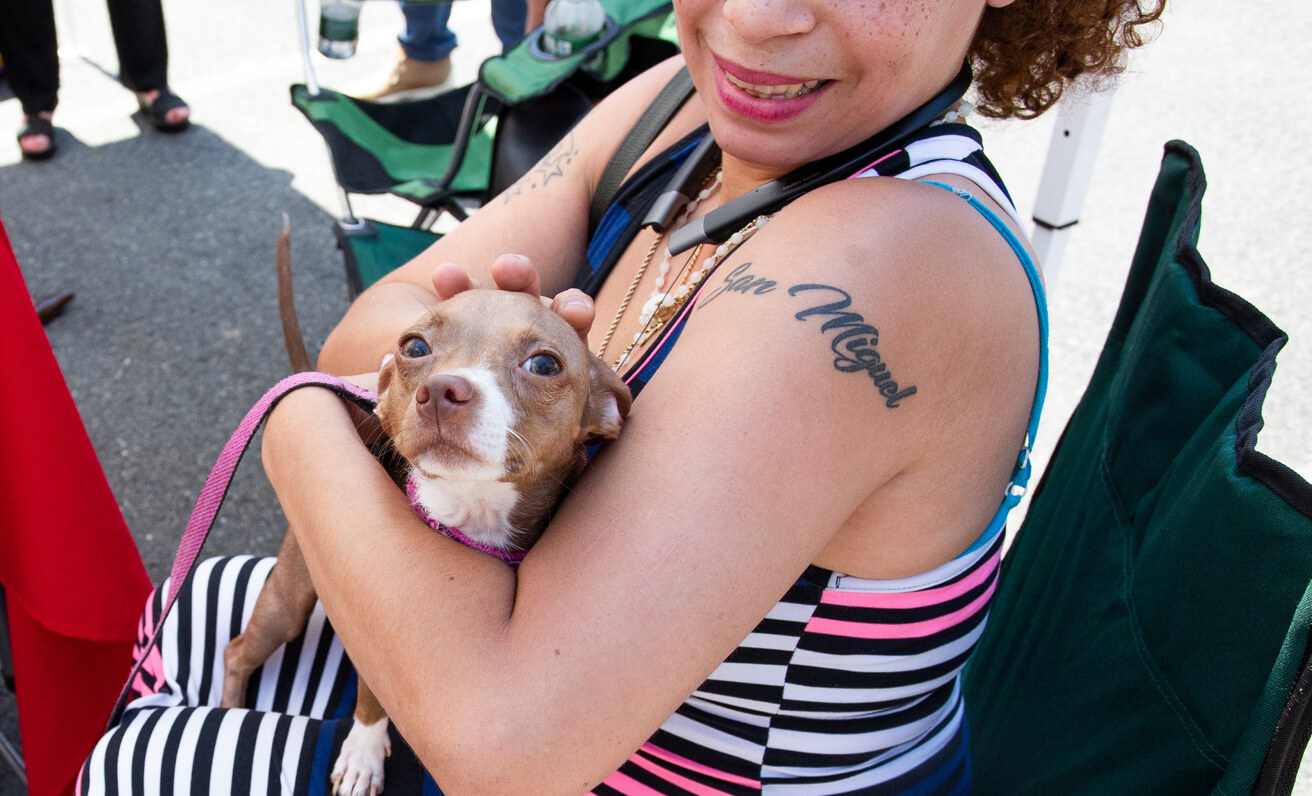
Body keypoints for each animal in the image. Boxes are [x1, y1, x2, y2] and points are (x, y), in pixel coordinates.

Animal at [223, 288, 632, 796]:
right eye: (414, 347)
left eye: (544, 364)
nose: (441, 391)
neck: (469, 511)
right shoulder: (376, 629)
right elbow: (371, 694)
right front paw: (363, 751)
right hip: (289, 600)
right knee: (236, 650)